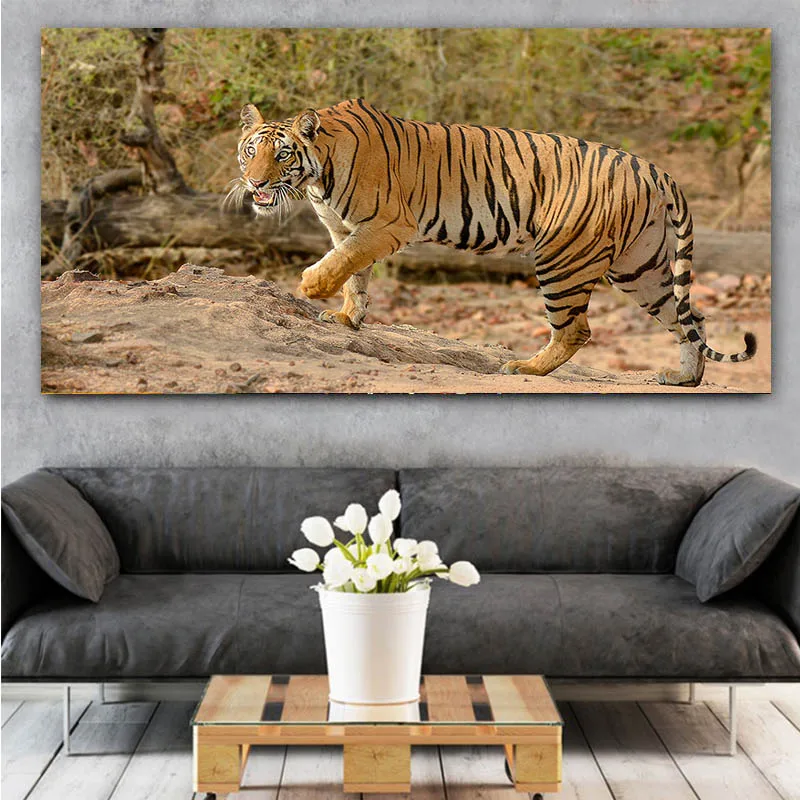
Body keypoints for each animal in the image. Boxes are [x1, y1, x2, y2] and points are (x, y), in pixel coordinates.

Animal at [230, 98, 756, 386]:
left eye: (282, 155)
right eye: (250, 151)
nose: (255, 184)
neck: (317, 176)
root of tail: (653, 168)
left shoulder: (386, 225)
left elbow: (343, 262)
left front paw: (312, 287)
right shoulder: (345, 227)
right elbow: (354, 274)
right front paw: (346, 318)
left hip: (563, 259)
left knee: (576, 330)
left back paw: (524, 368)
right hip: (639, 268)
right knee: (691, 317)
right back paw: (685, 378)